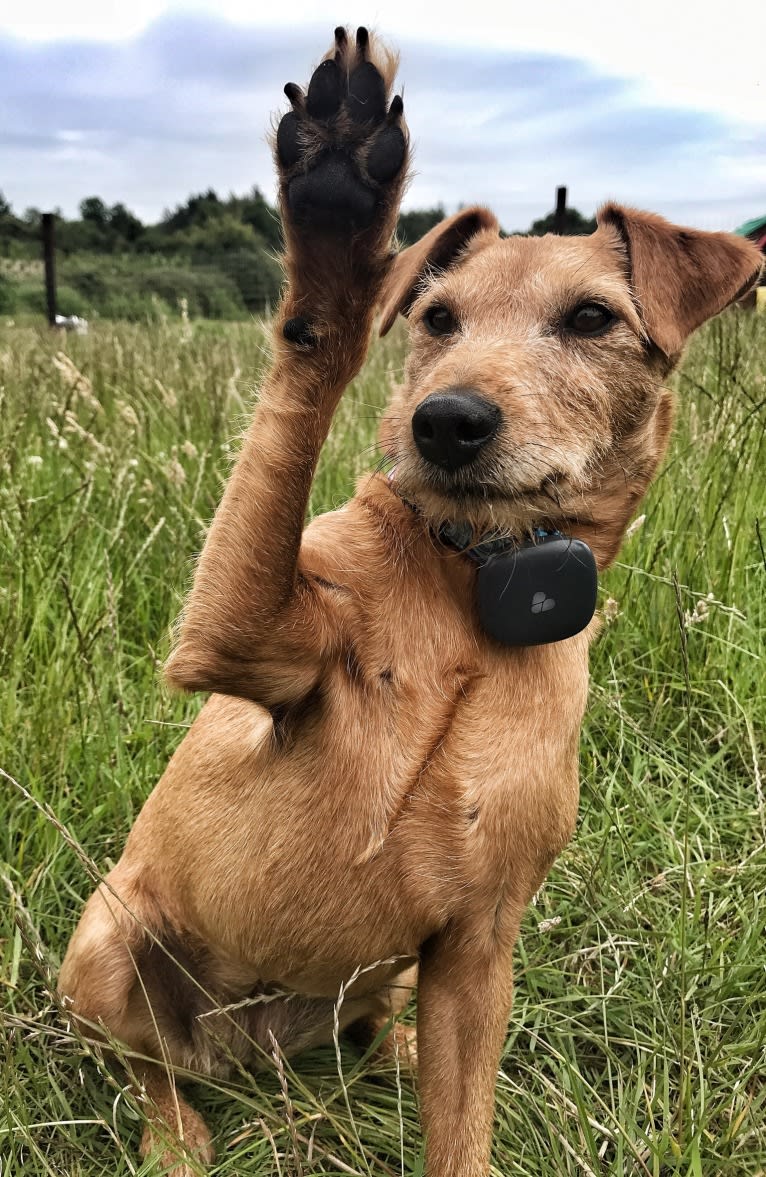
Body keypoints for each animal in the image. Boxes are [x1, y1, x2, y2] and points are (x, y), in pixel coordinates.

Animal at [58, 27, 762, 1177]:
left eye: (592, 318)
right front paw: (341, 211)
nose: (447, 421)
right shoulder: (235, 639)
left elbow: (461, 1128)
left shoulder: (477, 943)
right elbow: (313, 355)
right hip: (107, 944)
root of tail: (254, 1049)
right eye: (436, 318)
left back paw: (383, 1058)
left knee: (379, 1028)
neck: (474, 582)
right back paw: (177, 1133)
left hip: (393, 972)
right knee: (143, 1064)